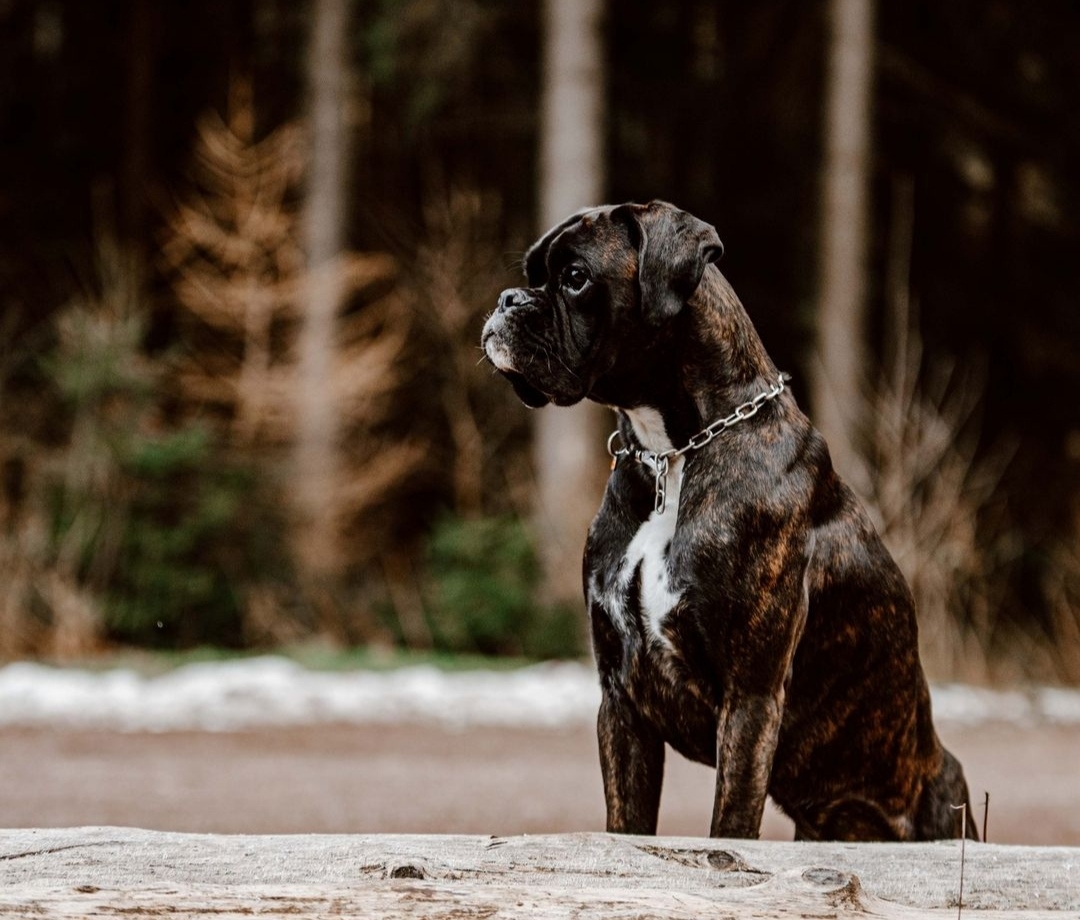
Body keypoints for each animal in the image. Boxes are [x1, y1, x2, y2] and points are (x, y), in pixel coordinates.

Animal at [479, 200, 972, 842]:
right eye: (533, 273)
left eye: (576, 278)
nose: (509, 298)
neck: (672, 455)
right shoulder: (621, 702)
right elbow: (626, 828)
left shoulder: (751, 700)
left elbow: (730, 827)